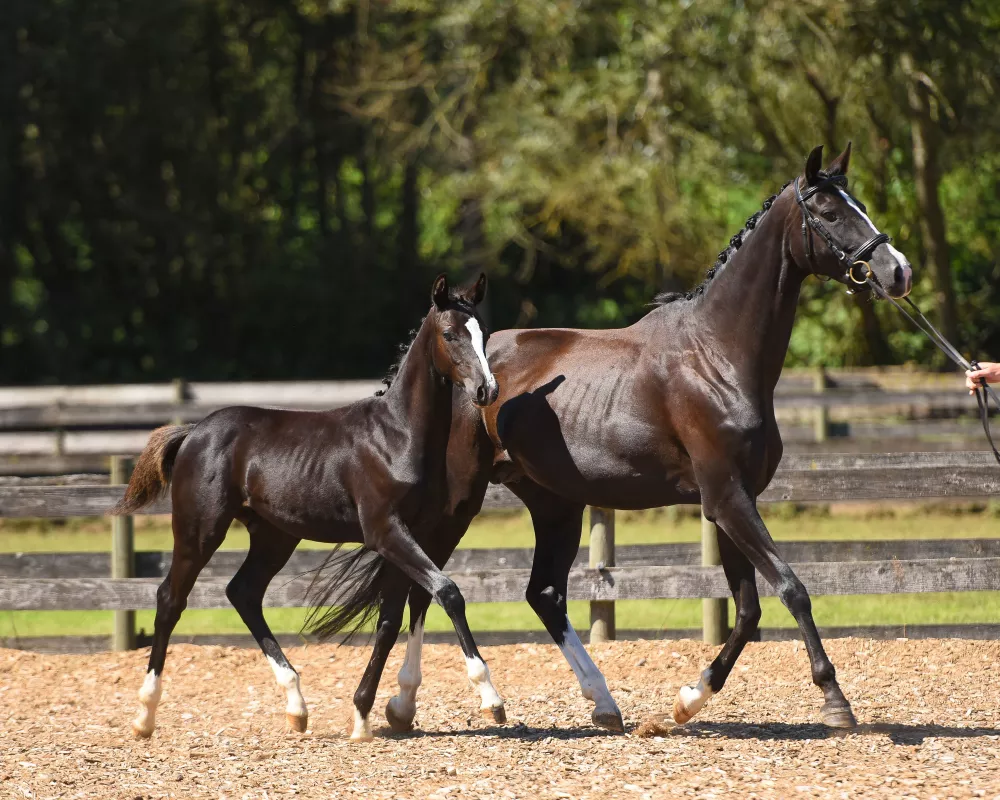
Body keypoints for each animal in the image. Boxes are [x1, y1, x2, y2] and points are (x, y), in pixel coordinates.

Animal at [111, 274, 500, 736]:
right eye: (450, 334)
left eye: (484, 332)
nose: (487, 390)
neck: (397, 437)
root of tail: (193, 432)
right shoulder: (385, 532)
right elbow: (449, 592)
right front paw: (491, 699)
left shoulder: (412, 535)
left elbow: (390, 620)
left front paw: (362, 717)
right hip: (199, 530)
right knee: (170, 599)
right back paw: (144, 714)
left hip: (274, 537)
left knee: (242, 592)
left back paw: (296, 705)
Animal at [386, 144, 912, 732]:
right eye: (828, 212)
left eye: (857, 203)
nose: (898, 272)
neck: (716, 355)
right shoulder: (728, 500)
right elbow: (792, 589)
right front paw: (834, 698)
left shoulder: (729, 503)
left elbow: (748, 610)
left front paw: (689, 699)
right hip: (459, 501)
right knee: (423, 587)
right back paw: (414, 704)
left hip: (554, 504)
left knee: (542, 594)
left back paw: (602, 704)